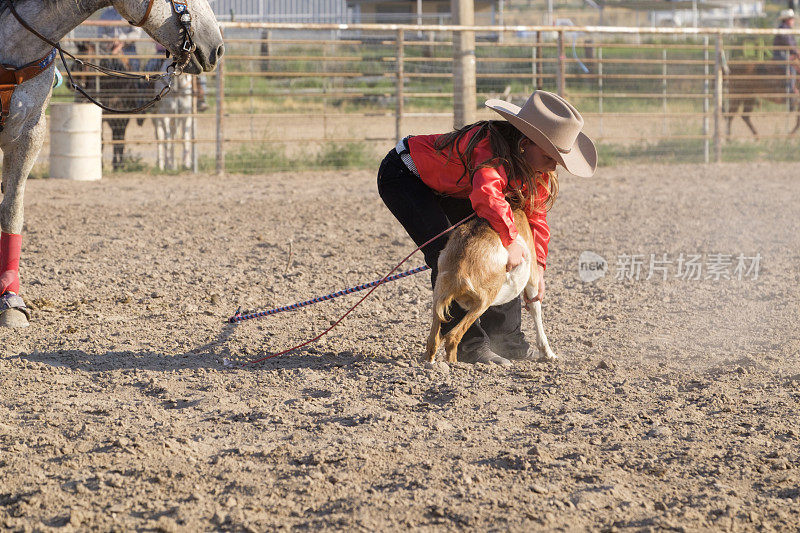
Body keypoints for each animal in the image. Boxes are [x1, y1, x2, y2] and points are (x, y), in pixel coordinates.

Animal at [424, 208, 556, 362]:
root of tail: (459, 270)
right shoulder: (532, 280)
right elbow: (536, 309)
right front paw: (548, 353)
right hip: (483, 301)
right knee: (452, 336)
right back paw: (454, 364)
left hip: (438, 296)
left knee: (433, 340)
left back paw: (431, 362)